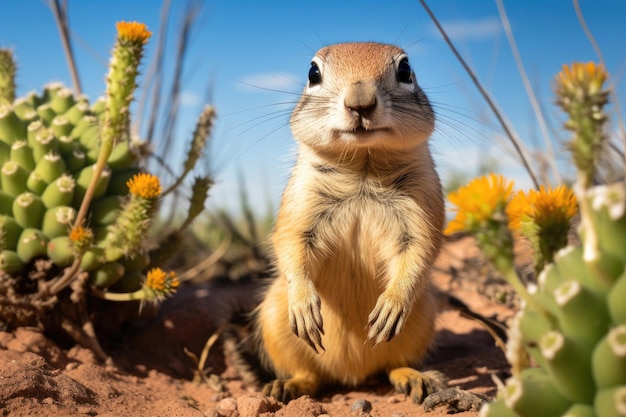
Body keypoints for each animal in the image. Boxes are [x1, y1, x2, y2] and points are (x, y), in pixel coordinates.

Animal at [227, 41, 446, 404]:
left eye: (405, 70)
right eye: (312, 73)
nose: (360, 103)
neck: (363, 165)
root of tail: (351, 376)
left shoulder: (422, 209)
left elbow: (420, 251)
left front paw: (392, 304)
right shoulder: (300, 205)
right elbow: (290, 243)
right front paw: (304, 303)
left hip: (423, 317)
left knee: (392, 366)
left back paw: (416, 378)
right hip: (273, 318)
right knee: (311, 376)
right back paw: (286, 385)